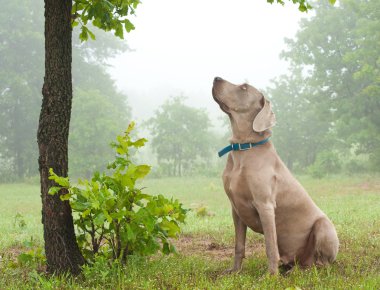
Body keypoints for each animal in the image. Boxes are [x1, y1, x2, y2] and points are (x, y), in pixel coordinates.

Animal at [212, 76, 340, 274]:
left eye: (244, 87)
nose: (216, 78)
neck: (244, 148)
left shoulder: (265, 205)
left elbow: (270, 246)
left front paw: (270, 275)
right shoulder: (236, 209)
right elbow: (239, 245)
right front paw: (234, 271)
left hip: (324, 226)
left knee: (321, 264)